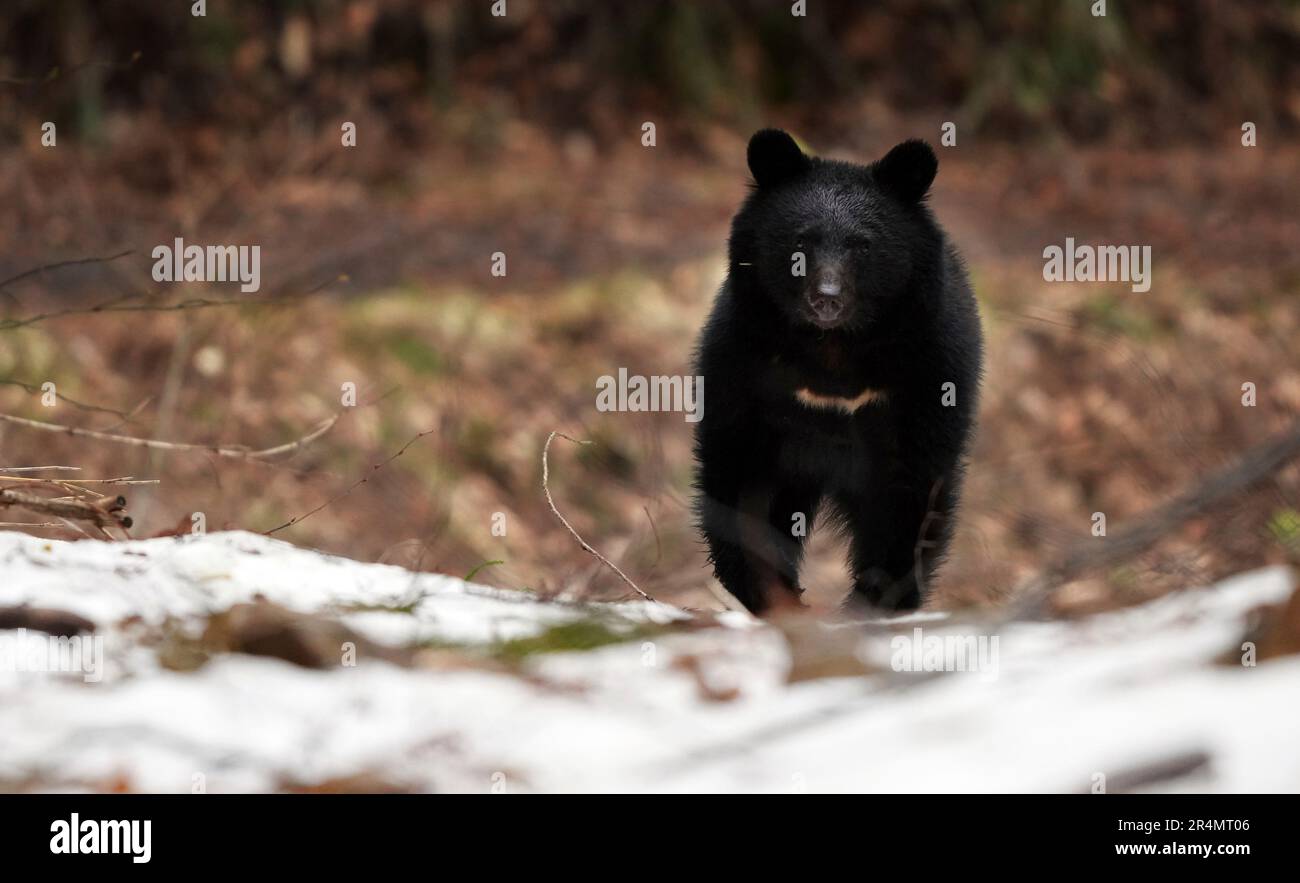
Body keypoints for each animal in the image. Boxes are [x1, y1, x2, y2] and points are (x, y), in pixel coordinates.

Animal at [696, 129, 977, 613]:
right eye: (802, 241)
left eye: (862, 245)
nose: (826, 297)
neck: (833, 346)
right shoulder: (744, 360)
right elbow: (742, 471)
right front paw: (771, 592)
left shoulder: (927, 371)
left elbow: (909, 489)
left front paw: (875, 599)